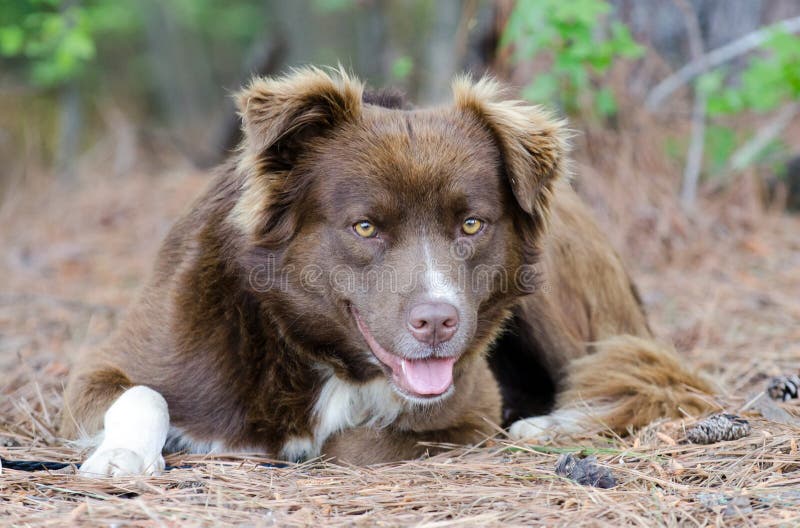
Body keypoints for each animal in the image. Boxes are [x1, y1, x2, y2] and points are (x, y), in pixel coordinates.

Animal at [62, 68, 712, 476]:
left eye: (471, 225)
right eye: (365, 227)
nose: (438, 323)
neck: (312, 351)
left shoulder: (474, 411)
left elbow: (354, 443)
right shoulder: (103, 367)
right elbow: (142, 393)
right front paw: (123, 457)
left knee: (663, 381)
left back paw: (548, 426)